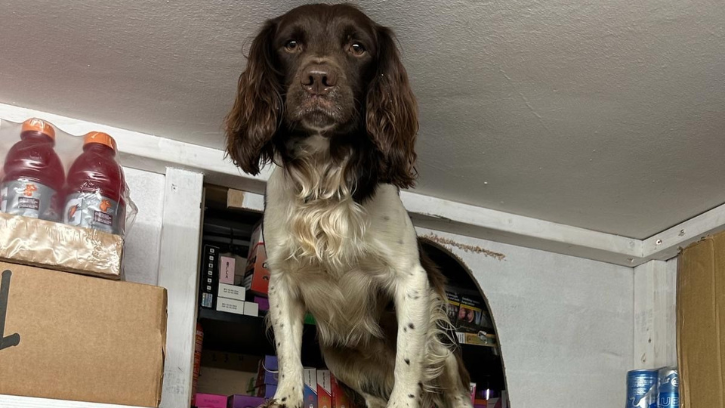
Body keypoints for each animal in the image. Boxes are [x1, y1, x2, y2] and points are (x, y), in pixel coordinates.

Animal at [228, 3, 476, 408]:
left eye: (357, 47)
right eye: (291, 44)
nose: (317, 79)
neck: (324, 175)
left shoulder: (411, 280)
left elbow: (407, 364)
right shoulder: (283, 282)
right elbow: (288, 352)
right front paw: (285, 398)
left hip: (444, 354)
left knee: (449, 386)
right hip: (339, 357)